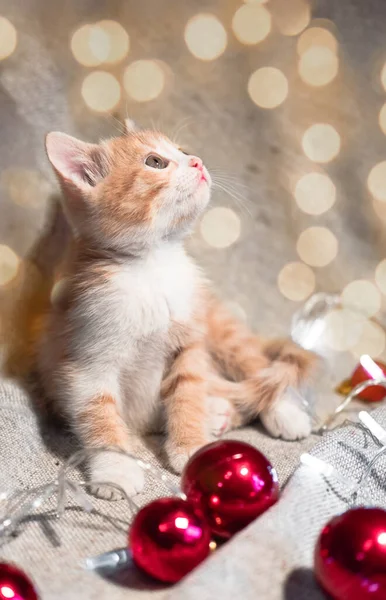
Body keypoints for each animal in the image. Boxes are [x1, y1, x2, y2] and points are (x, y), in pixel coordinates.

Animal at [35, 119, 316, 500]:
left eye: (183, 151)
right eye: (155, 162)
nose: (197, 161)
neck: (153, 267)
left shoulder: (189, 343)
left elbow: (188, 392)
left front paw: (193, 449)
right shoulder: (85, 358)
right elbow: (98, 414)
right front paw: (115, 468)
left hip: (220, 329)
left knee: (257, 369)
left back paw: (281, 413)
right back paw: (219, 412)